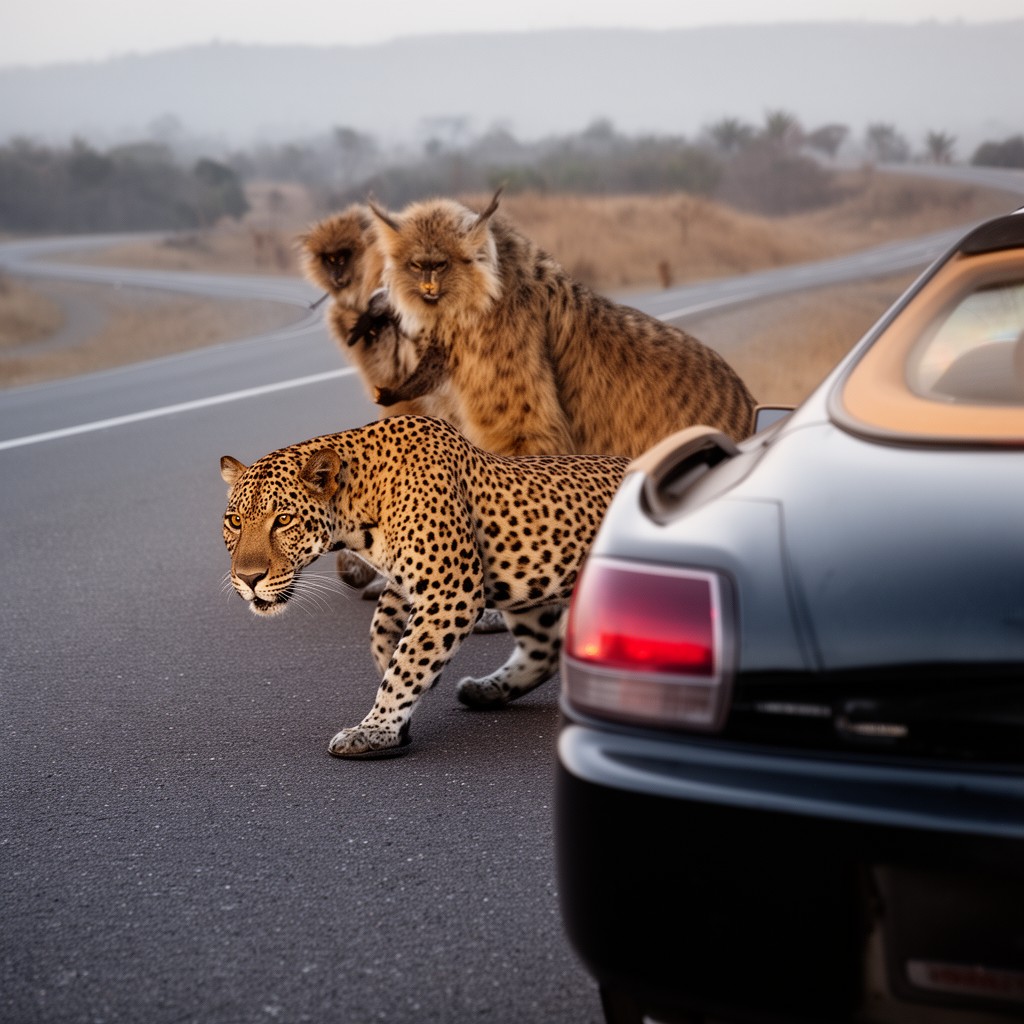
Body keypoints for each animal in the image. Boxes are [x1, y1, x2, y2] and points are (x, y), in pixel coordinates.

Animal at [219, 414, 629, 759]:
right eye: (235, 521)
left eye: (283, 520)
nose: (248, 578)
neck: (357, 505)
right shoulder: (410, 582)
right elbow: (383, 629)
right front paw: (390, 668)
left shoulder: (452, 590)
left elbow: (409, 660)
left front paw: (376, 729)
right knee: (544, 647)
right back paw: (485, 690)